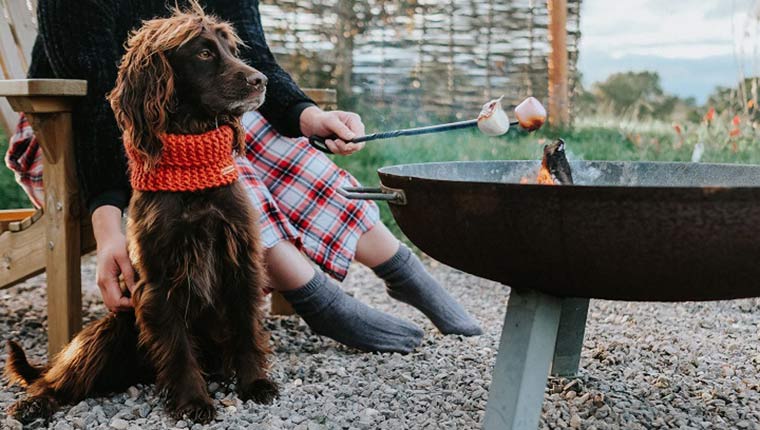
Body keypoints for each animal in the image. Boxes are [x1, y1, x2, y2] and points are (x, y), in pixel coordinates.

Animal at [4, 5, 278, 424]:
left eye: (232, 50)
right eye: (203, 53)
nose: (260, 80)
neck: (192, 172)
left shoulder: (241, 259)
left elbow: (247, 327)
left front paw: (255, 384)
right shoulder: (159, 277)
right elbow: (178, 349)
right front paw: (193, 401)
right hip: (109, 329)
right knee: (59, 380)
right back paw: (35, 402)